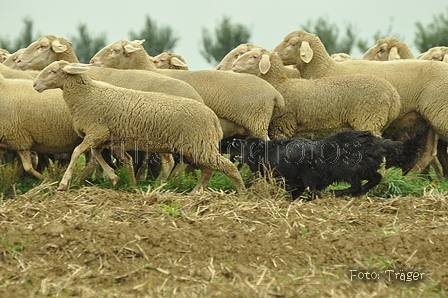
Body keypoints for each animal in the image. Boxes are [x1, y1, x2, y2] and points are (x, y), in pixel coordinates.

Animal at [33, 61, 247, 193]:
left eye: (53, 71)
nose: (35, 85)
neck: (87, 94)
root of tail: (212, 117)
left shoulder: (96, 132)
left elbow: (78, 152)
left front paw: (63, 184)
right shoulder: (104, 137)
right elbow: (98, 155)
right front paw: (115, 178)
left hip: (200, 145)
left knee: (226, 167)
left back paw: (242, 194)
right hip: (196, 147)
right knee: (207, 171)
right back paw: (194, 193)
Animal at [231, 47, 400, 139]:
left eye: (254, 57)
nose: (233, 66)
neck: (279, 84)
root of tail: (394, 96)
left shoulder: (283, 122)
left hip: (369, 118)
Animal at [233, 131, 400, 199]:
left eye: (246, 144)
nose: (234, 140)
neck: (270, 153)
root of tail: (376, 141)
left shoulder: (305, 181)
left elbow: (310, 192)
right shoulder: (297, 185)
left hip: (346, 169)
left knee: (356, 186)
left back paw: (338, 193)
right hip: (364, 169)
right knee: (375, 179)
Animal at [272, 29, 448, 175]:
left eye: (292, 43)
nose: (273, 53)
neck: (326, 69)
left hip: (440, 112)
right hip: (428, 120)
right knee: (428, 152)